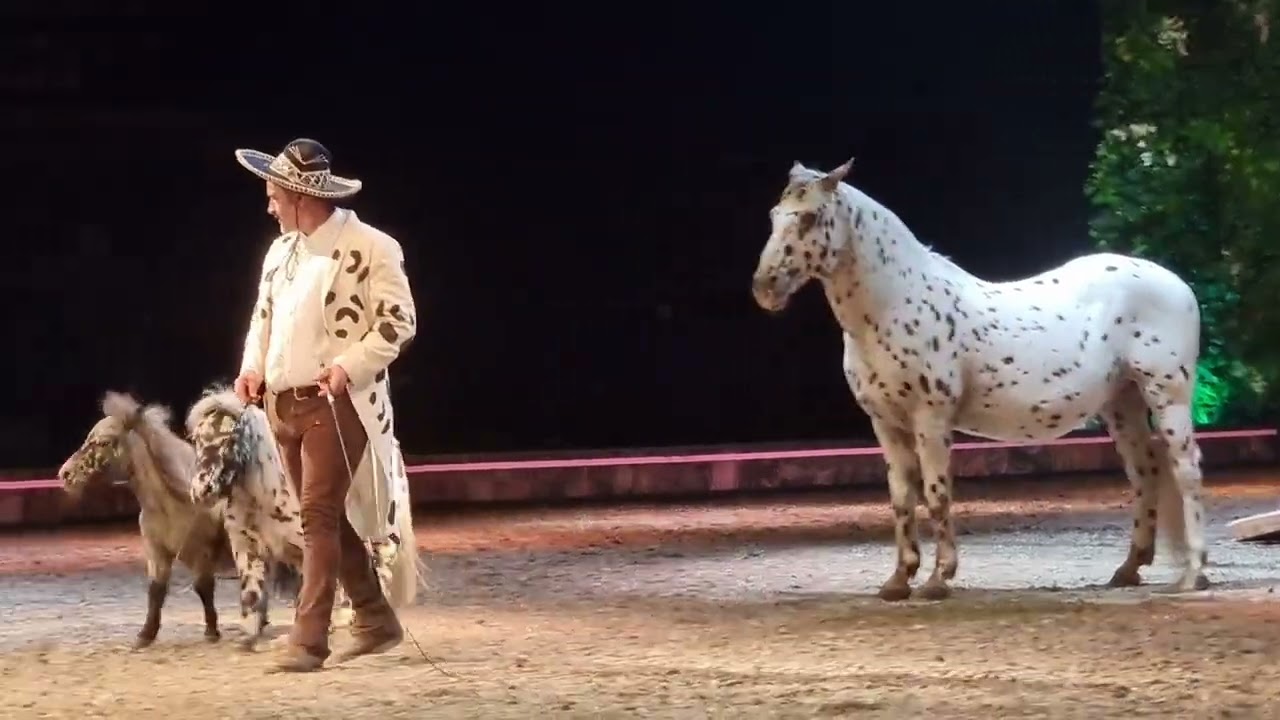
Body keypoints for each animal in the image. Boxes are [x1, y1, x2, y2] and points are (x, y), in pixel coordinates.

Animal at [57, 391, 230, 649]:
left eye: (105, 441)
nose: (65, 474)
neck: (170, 502)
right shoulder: (157, 552)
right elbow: (156, 591)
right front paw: (145, 635)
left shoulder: (201, 554)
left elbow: (203, 587)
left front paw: (211, 631)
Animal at [184, 385, 424, 645]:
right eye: (197, 440)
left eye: (230, 439)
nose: (202, 490)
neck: (264, 493)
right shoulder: (247, 545)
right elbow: (252, 592)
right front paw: (251, 632)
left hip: (381, 531)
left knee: (380, 568)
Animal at [750, 159, 1210, 601]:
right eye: (774, 214)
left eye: (810, 217)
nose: (765, 287)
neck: (894, 304)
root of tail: (1177, 284)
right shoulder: (886, 423)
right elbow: (901, 499)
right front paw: (898, 581)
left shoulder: (930, 419)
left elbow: (937, 495)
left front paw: (938, 580)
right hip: (1122, 402)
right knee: (1144, 472)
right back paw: (1129, 569)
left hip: (1166, 395)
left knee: (1186, 471)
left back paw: (1194, 574)